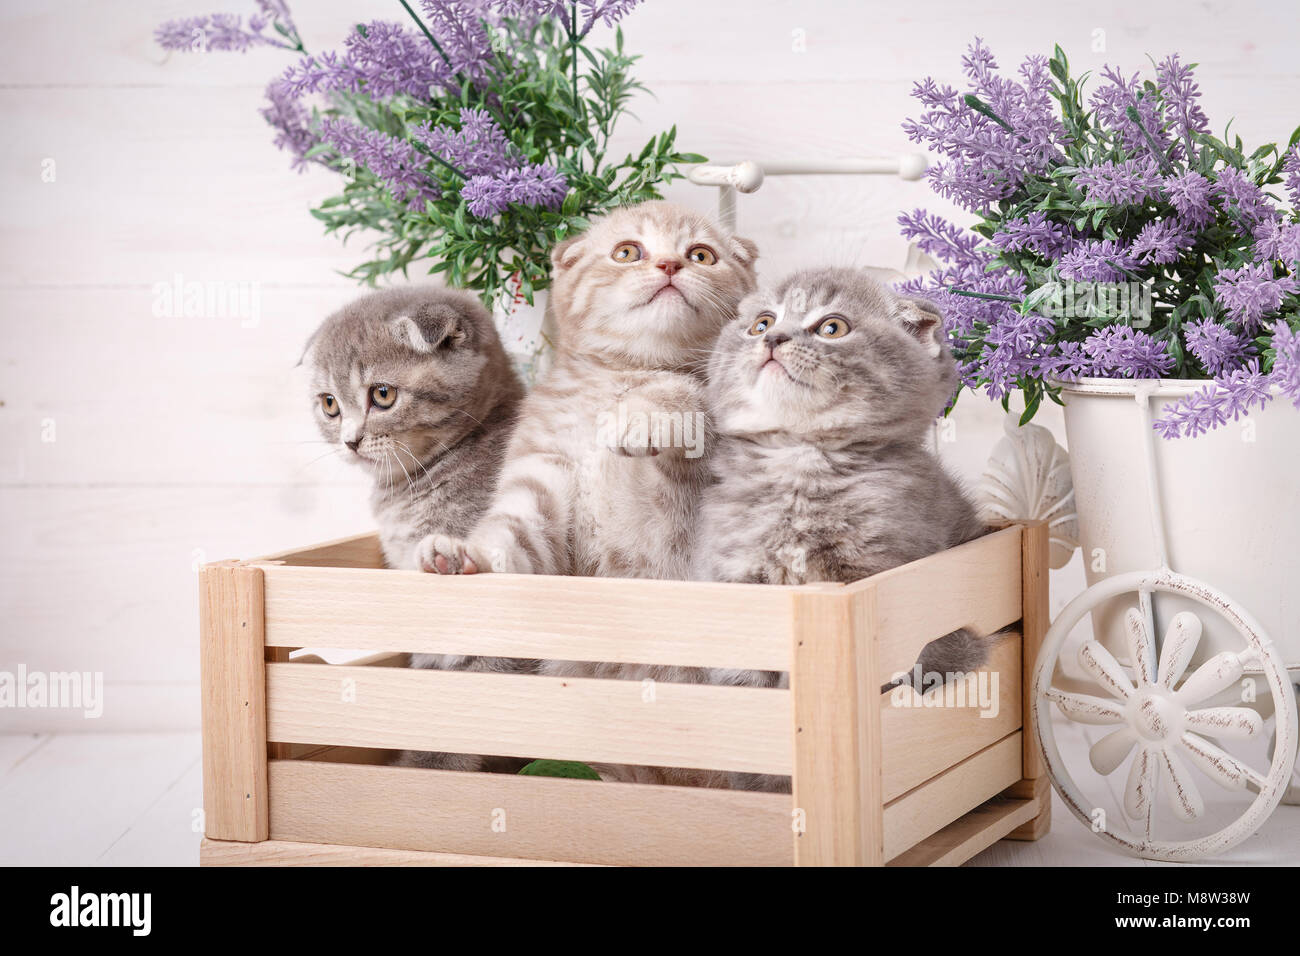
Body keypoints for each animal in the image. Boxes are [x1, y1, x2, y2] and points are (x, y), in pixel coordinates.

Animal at [421, 204, 759, 587]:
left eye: (701, 255)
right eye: (626, 252)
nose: (670, 264)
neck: (626, 373)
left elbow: (687, 387)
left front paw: (638, 417)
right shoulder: (541, 472)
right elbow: (514, 536)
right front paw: (466, 554)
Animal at [696, 267, 987, 785]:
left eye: (832, 328)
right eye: (761, 322)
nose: (773, 337)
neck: (800, 461)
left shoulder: (873, 573)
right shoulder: (738, 588)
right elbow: (745, 693)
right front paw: (764, 788)